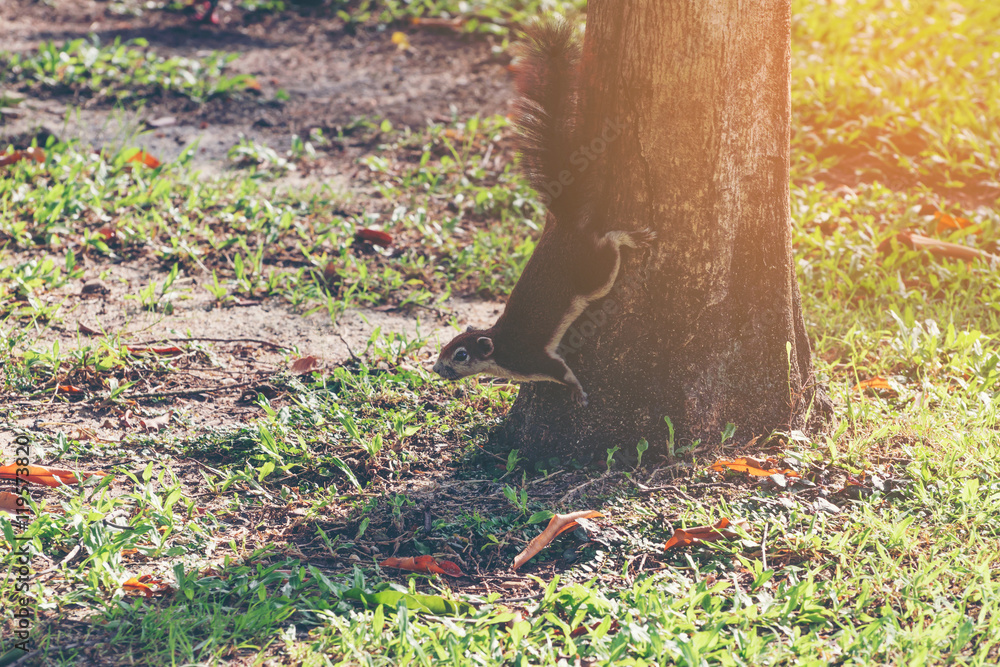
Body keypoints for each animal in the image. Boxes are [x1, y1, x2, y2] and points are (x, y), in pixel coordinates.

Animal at [432, 19, 654, 407]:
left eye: (460, 355)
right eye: (448, 344)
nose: (436, 368)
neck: (499, 347)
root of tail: (564, 225)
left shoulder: (531, 359)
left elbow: (561, 372)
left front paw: (577, 392)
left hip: (592, 272)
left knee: (608, 248)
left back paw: (630, 238)